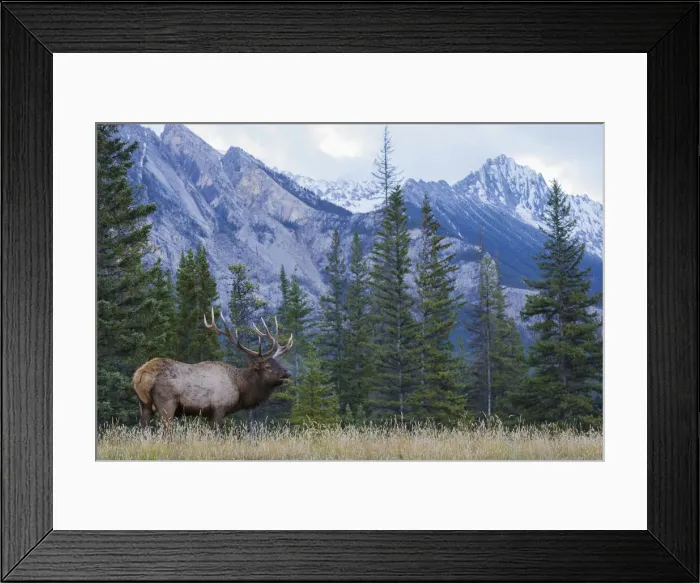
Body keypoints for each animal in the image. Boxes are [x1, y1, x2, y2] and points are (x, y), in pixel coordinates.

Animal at [132, 308, 293, 436]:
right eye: (267, 367)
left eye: (278, 363)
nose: (287, 373)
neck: (240, 388)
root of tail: (141, 375)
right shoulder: (219, 408)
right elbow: (216, 434)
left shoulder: (208, 414)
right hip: (167, 402)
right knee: (165, 431)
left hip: (144, 404)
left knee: (142, 429)